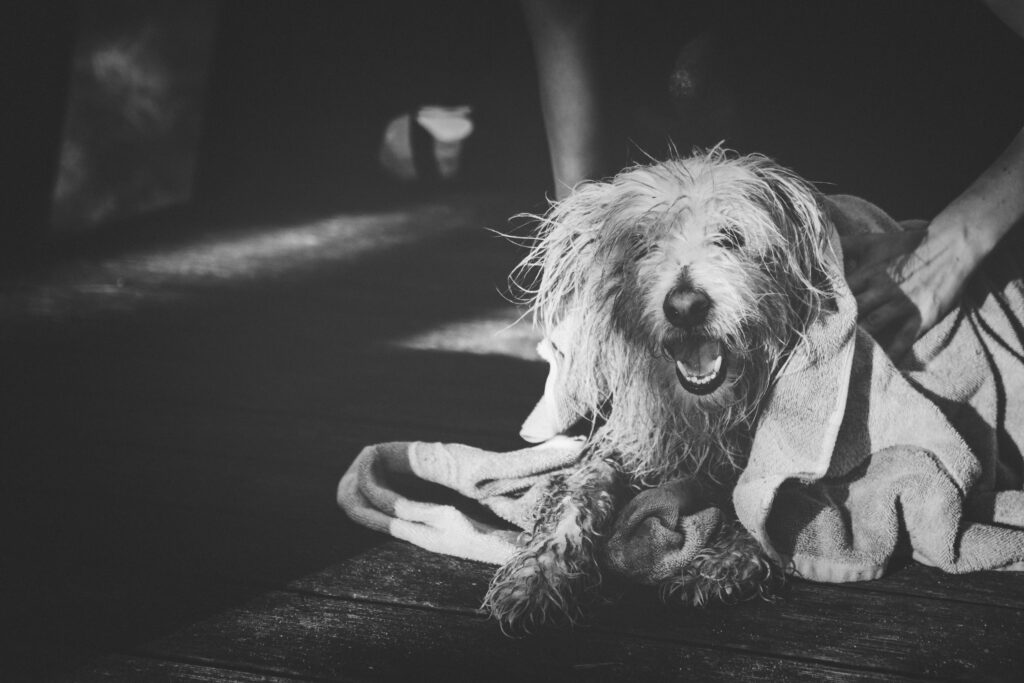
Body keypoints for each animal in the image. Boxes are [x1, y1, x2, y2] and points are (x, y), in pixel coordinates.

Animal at [483, 149, 843, 630]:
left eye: (731, 238)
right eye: (642, 247)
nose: (685, 307)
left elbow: (767, 511)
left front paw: (723, 563)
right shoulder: (621, 443)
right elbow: (575, 501)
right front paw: (536, 574)